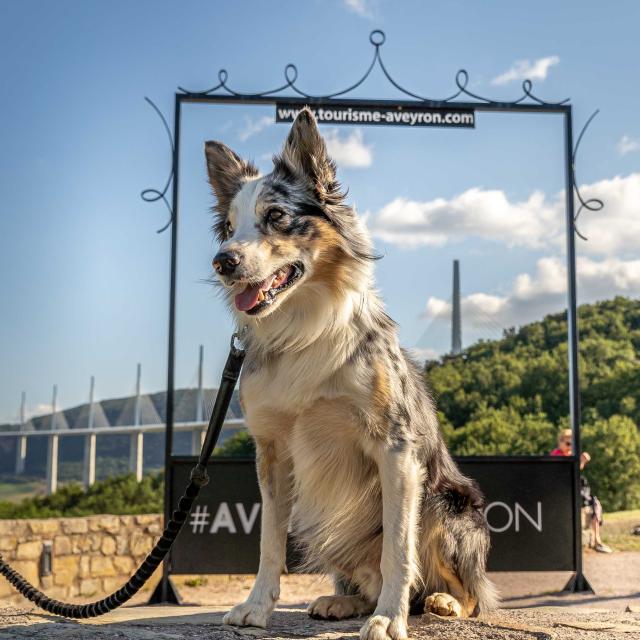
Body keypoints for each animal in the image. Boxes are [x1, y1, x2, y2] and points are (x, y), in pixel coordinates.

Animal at [204, 107, 496, 636]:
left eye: (276, 217)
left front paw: (389, 619)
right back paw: (343, 601)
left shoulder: (396, 449)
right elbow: (269, 542)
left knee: (468, 592)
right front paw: (257, 607)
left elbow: (398, 549)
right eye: (230, 227)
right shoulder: (272, 452)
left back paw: (440, 601)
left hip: (448, 504)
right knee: (362, 575)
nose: (223, 261)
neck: (302, 327)